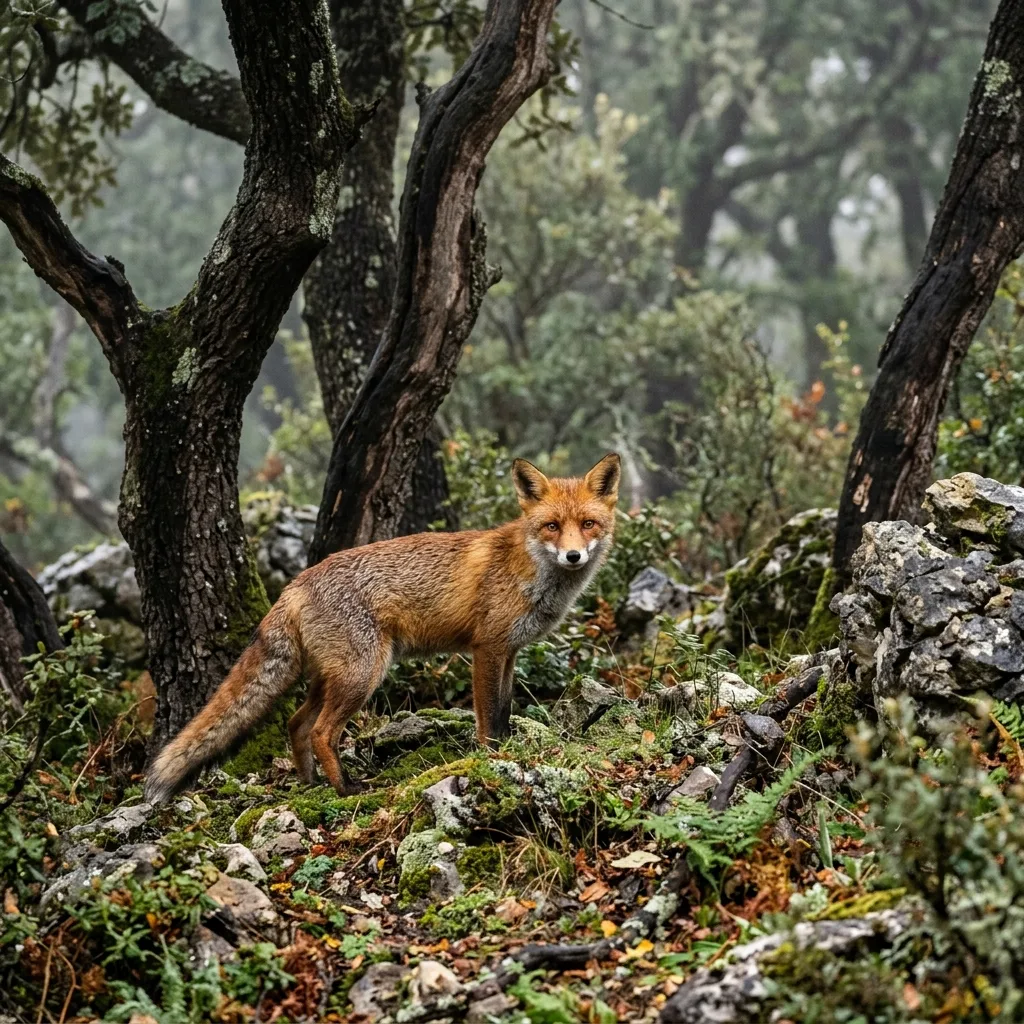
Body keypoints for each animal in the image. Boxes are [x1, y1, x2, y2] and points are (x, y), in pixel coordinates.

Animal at [144, 452, 621, 805]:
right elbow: (488, 718)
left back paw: (311, 784)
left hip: (333, 677)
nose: (574, 556)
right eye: (552, 526)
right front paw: (489, 761)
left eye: (588, 524)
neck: (531, 572)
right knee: (320, 732)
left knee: (296, 723)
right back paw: (345, 788)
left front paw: (507, 752)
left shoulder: (509, 652)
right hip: (363, 675)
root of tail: (295, 583)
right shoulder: (487, 649)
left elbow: (503, 711)